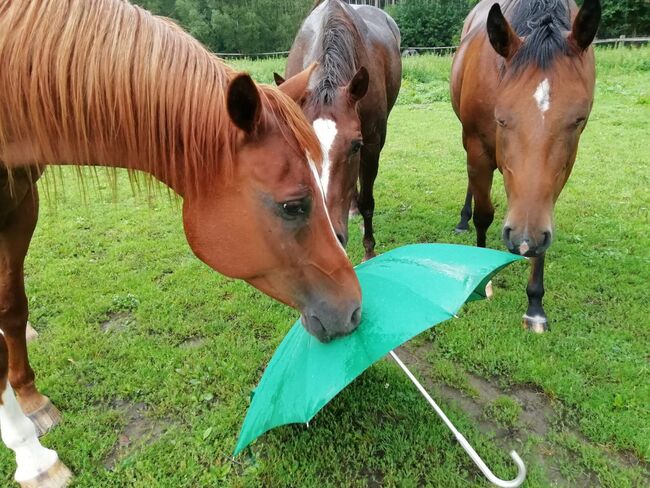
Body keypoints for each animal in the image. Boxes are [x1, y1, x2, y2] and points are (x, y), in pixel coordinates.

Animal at [0, 0, 360, 484]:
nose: (355, 308)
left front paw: (31, 401)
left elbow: (12, 308)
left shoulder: (22, 202)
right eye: (293, 206)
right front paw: (34, 460)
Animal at [450, 0, 596, 332]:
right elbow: (484, 214)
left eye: (578, 119)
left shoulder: (560, 171)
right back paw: (463, 220)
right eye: (501, 118)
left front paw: (535, 306)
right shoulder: (477, 150)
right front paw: (483, 280)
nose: (524, 241)